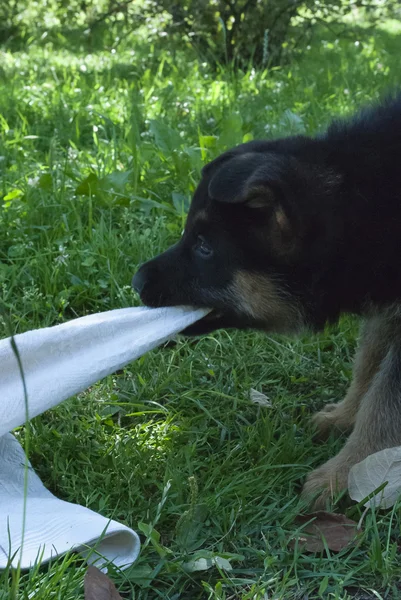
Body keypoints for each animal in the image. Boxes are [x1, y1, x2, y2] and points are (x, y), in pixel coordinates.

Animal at [132, 95, 401, 506]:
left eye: (204, 247)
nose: (136, 282)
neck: (359, 203)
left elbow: (384, 402)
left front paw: (345, 475)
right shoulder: (387, 304)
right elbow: (369, 367)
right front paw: (344, 417)